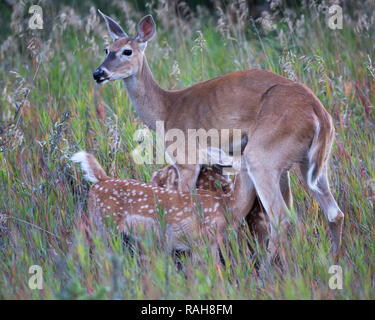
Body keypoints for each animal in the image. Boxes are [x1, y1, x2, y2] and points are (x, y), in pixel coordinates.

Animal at [93, 11, 344, 260]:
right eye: (106, 49)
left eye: (127, 51)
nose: (98, 73)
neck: (165, 111)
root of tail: (320, 114)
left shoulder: (186, 158)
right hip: (310, 163)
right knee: (334, 213)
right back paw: (333, 258)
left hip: (263, 155)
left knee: (282, 217)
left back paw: (267, 266)